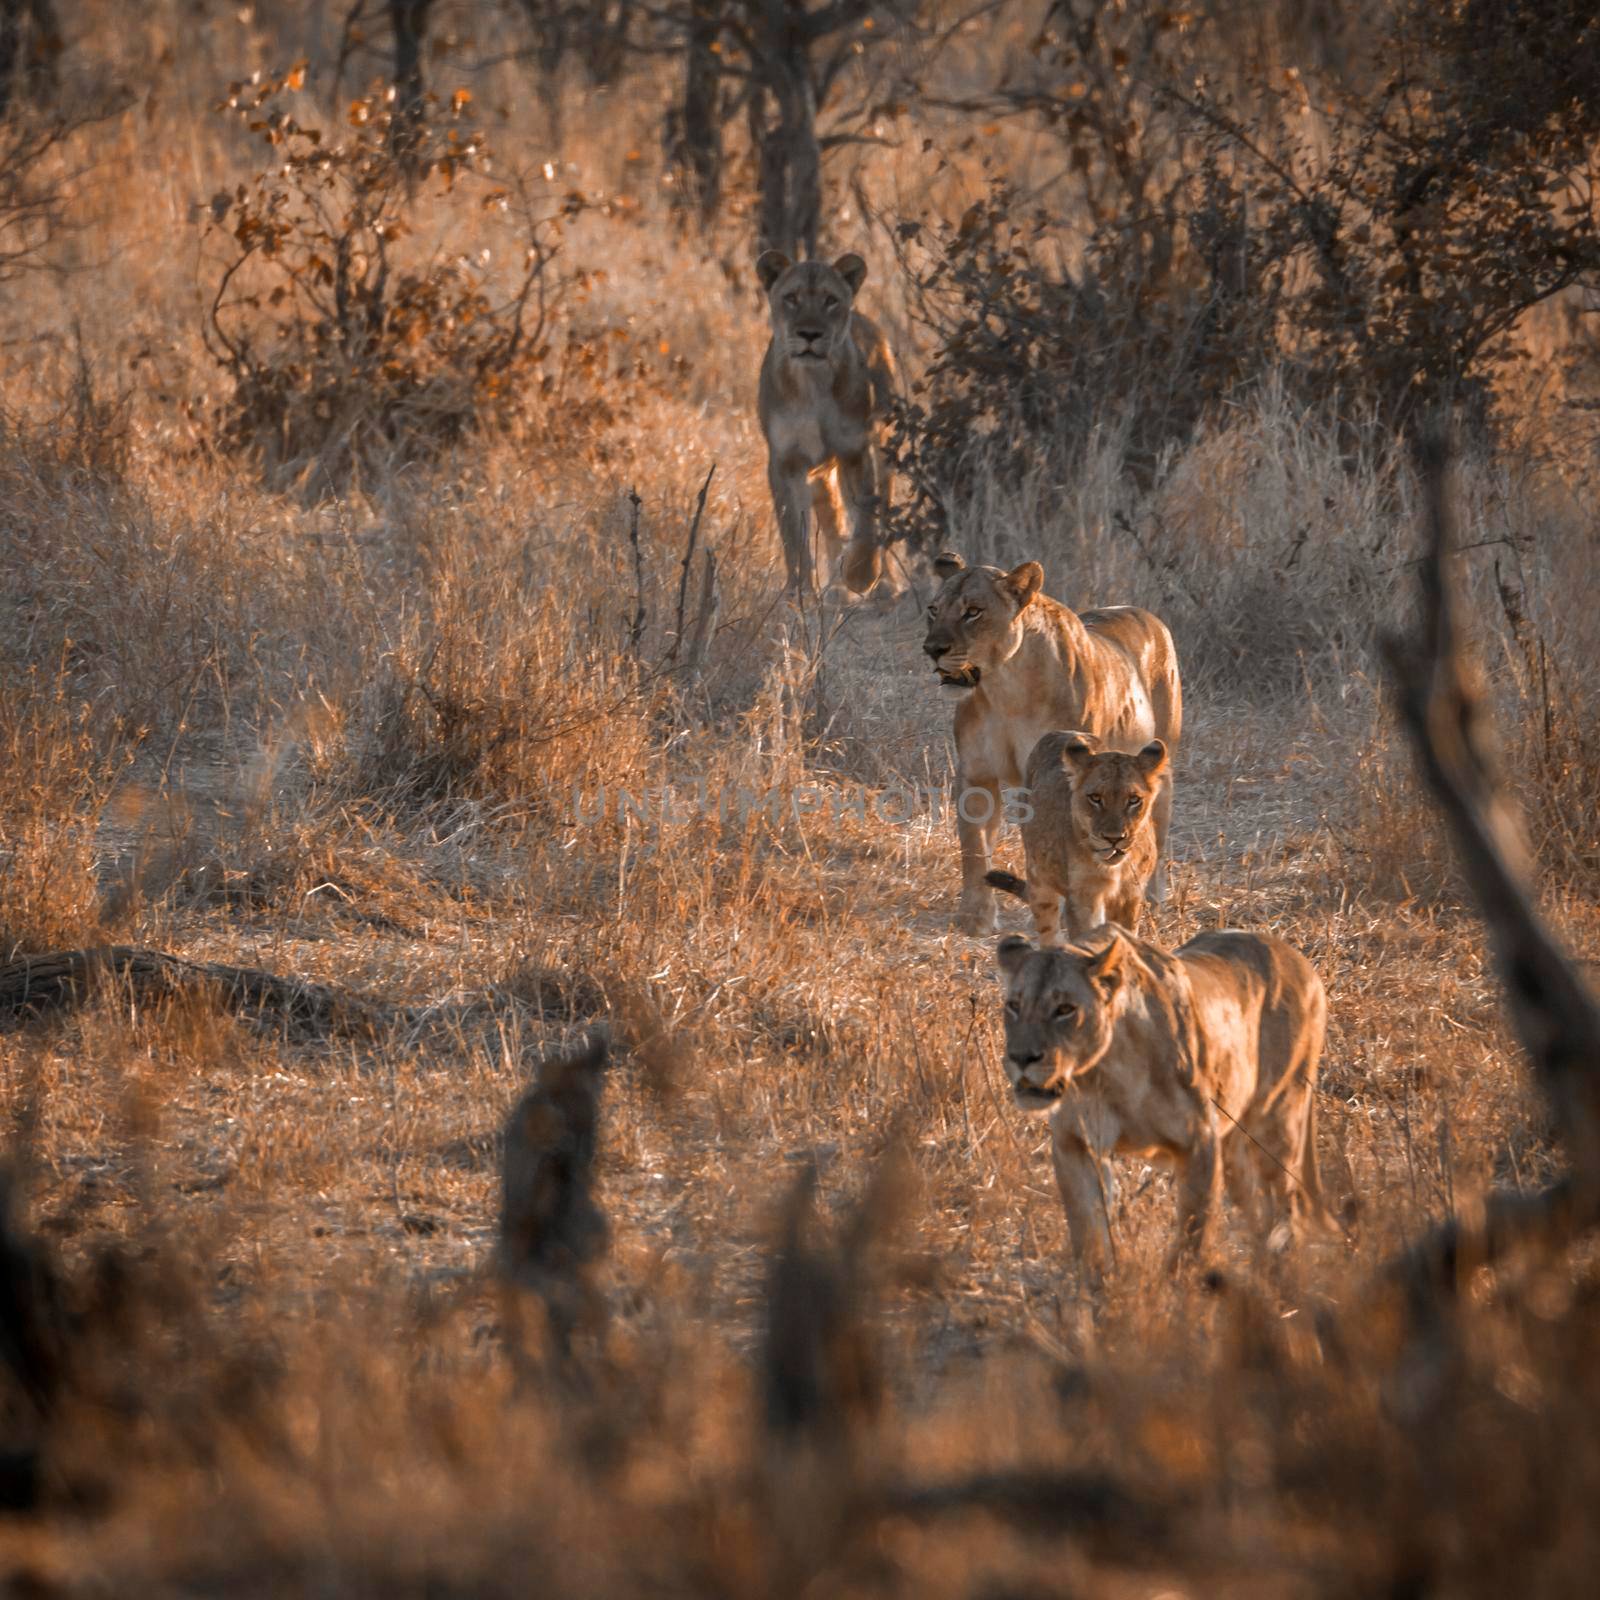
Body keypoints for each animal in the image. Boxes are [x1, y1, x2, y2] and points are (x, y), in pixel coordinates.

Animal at [755, 246, 896, 598]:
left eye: (830, 300)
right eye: (791, 298)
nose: (809, 334)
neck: (812, 384)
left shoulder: (856, 451)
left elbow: (866, 520)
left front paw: (860, 574)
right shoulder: (785, 462)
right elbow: (794, 536)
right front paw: (800, 593)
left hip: (885, 449)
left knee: (883, 512)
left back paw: (883, 583)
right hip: (820, 475)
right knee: (832, 521)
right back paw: (834, 588)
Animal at [979, 736, 1171, 947]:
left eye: (1134, 800)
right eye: (1095, 798)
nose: (1113, 839)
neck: (1112, 870)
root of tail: (1060, 732)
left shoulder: (1130, 895)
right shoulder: (1081, 897)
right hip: (1039, 879)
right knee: (1048, 928)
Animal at [998, 928, 1324, 1286]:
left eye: (1065, 1009)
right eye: (1014, 1006)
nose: (1021, 1058)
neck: (1103, 1074)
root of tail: (1298, 959)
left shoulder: (1200, 1140)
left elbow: (1193, 1233)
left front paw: (1178, 1290)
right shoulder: (1075, 1144)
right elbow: (1088, 1230)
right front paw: (1097, 1287)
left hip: (1278, 1122)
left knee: (1286, 1209)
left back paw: (1281, 1279)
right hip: (1237, 1152)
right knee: (1258, 1213)